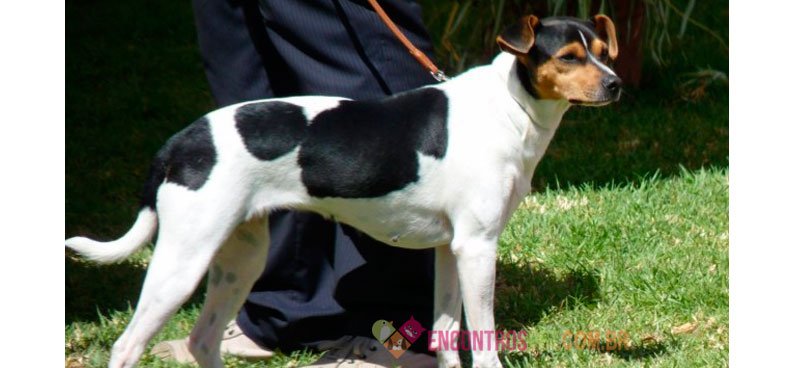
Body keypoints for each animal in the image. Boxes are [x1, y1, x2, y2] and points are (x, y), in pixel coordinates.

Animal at [66, 15, 620, 368]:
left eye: (602, 52)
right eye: (568, 57)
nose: (616, 84)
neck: (507, 108)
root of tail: (182, 141)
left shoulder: (451, 248)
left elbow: (445, 336)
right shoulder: (478, 247)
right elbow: (481, 346)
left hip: (239, 259)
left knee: (204, 342)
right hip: (183, 262)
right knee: (127, 347)